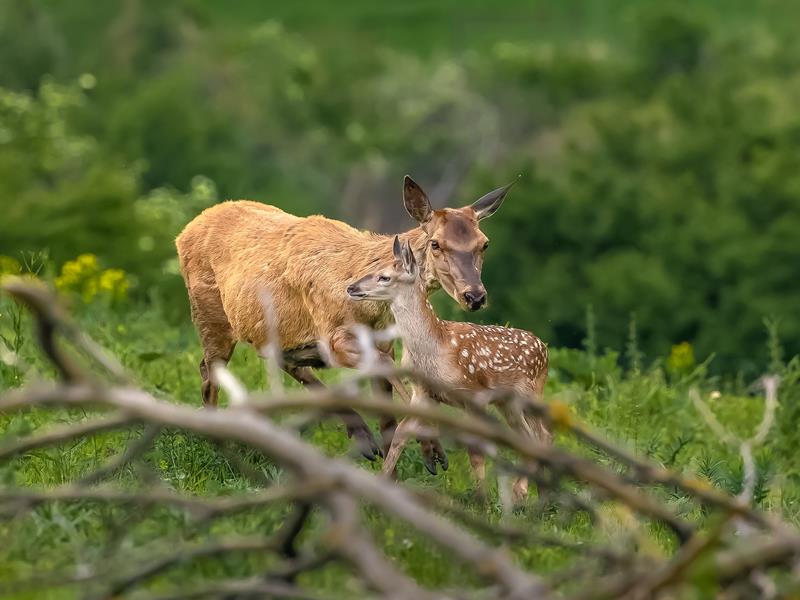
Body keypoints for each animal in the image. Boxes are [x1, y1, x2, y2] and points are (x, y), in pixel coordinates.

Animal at [346, 236, 552, 502]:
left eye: (384, 277)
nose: (351, 288)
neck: (436, 348)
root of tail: (544, 347)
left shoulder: (473, 394)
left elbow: (475, 449)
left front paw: (481, 500)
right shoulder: (422, 393)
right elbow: (400, 433)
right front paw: (380, 484)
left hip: (529, 393)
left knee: (542, 436)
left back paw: (525, 492)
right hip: (507, 403)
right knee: (529, 437)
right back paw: (537, 495)